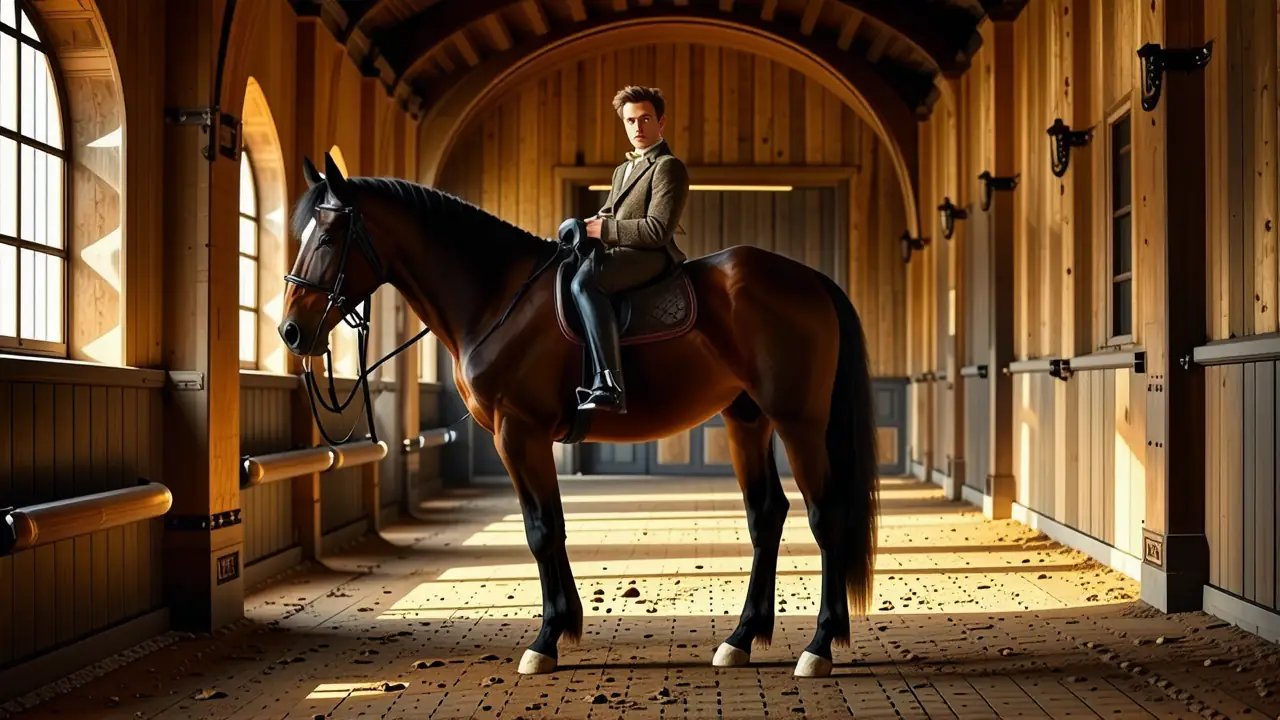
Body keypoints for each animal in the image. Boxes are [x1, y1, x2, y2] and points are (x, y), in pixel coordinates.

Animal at [278, 152, 880, 679]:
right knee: (766, 516)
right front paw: (561, 629)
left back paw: (819, 648)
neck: (496, 298)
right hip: (747, 420)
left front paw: (546, 640)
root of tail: (810, 280)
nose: (291, 333)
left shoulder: (518, 433)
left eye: (328, 237)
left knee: (826, 516)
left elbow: (543, 530)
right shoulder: (517, 437)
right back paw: (740, 640)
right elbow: (551, 527)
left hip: (798, 422)